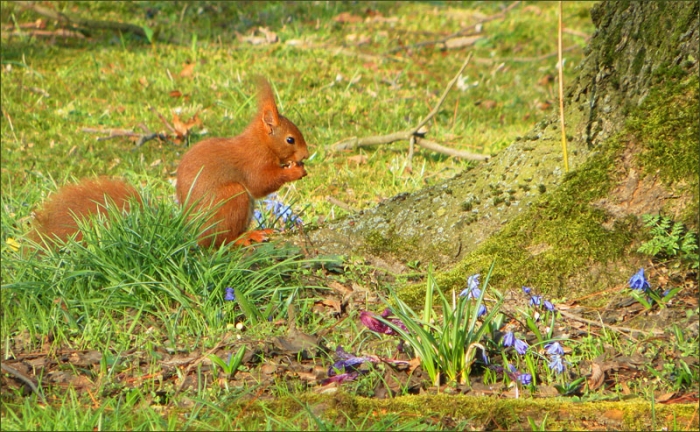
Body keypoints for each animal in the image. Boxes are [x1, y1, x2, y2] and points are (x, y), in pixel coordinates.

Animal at [31, 78, 309, 248]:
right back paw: (245, 238)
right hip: (233, 198)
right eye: (290, 139)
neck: (261, 142)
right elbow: (261, 183)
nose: (306, 155)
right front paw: (294, 172)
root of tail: (190, 230)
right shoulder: (253, 161)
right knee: (218, 243)